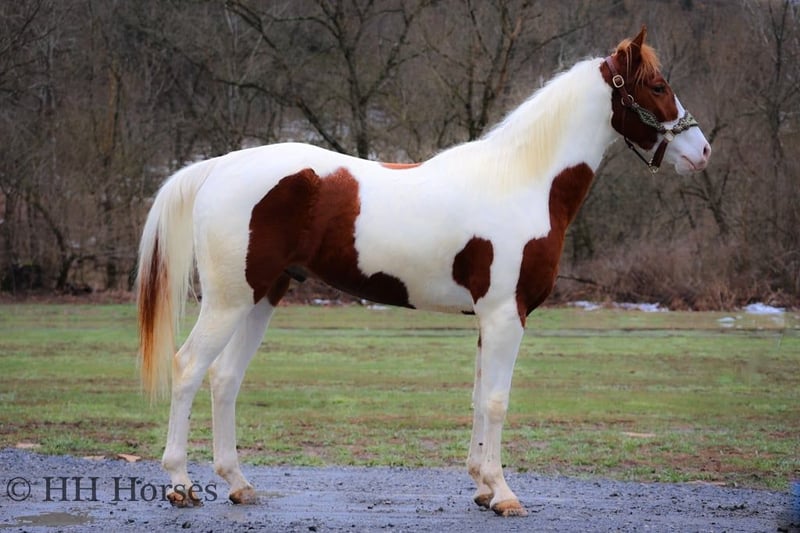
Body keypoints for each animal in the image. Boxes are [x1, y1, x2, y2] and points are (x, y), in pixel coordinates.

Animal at [136, 27, 710, 517]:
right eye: (658, 86)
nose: (702, 151)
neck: (523, 181)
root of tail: (219, 166)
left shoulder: (488, 319)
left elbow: (478, 397)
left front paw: (482, 487)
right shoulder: (507, 315)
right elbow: (497, 401)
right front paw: (504, 494)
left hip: (263, 296)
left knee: (225, 378)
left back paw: (239, 484)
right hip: (230, 300)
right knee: (189, 368)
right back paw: (181, 485)